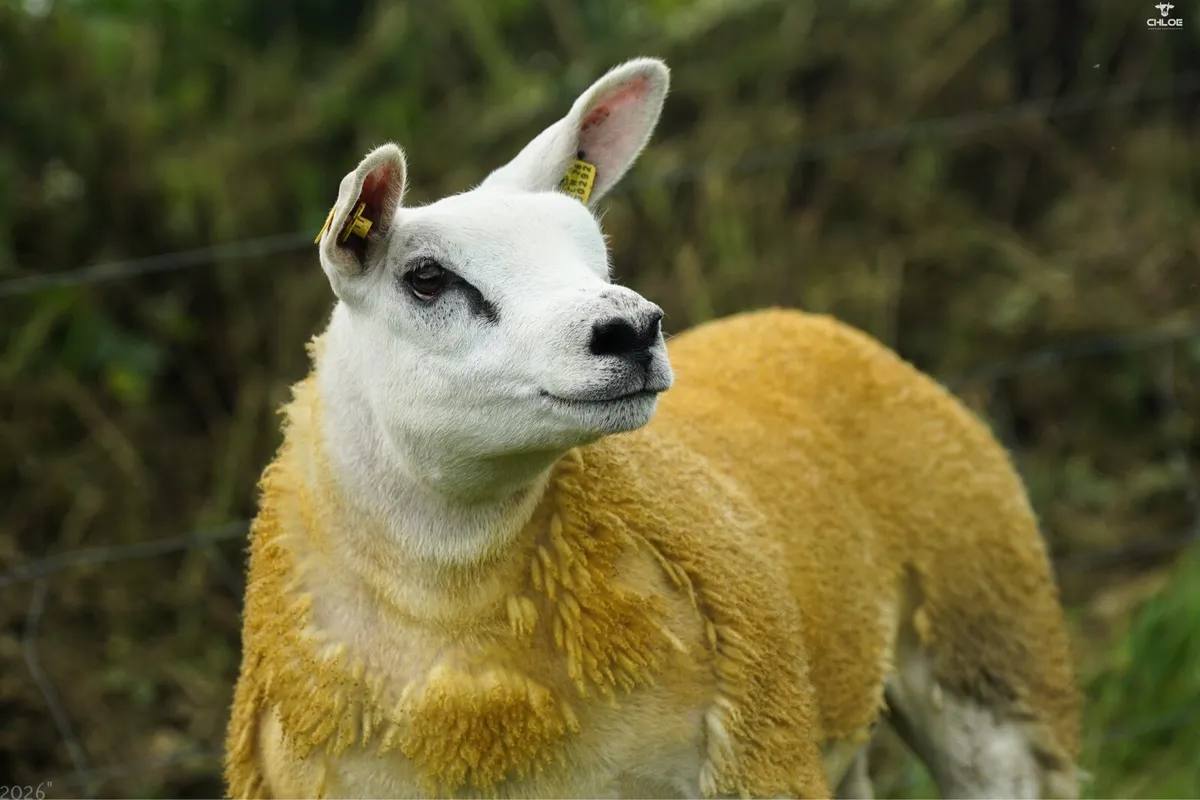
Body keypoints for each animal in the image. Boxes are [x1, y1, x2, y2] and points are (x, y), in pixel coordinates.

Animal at [223, 57, 1082, 799]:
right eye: (427, 278)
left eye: (593, 254)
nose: (630, 330)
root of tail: (796, 319)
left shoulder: (758, 763)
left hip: (987, 647)